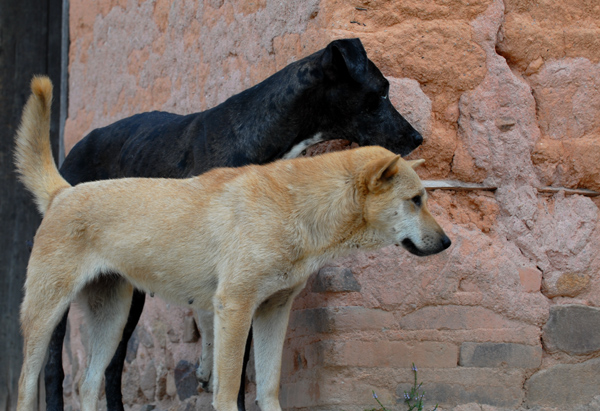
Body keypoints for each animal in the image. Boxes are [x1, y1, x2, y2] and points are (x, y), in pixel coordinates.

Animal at [15, 77, 450, 411]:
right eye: (415, 200)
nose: (446, 242)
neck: (293, 206)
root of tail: (62, 192)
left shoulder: (274, 311)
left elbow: (269, 388)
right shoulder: (236, 307)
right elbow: (228, 391)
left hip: (113, 316)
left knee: (89, 384)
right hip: (46, 316)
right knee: (27, 383)